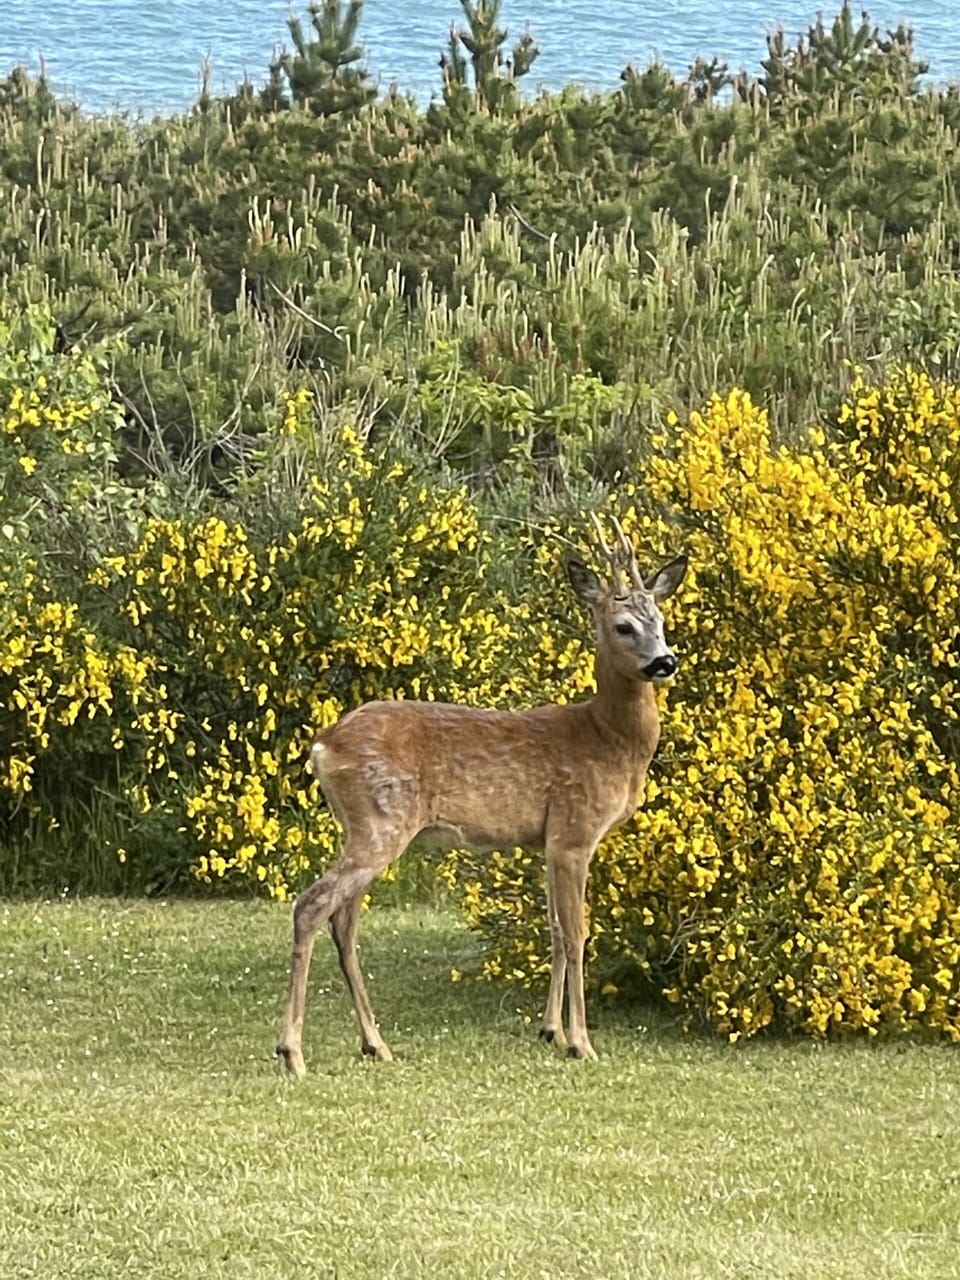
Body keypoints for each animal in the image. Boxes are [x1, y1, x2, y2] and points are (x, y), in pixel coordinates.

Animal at [276, 517, 687, 1075]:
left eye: (661, 620)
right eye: (624, 626)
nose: (665, 661)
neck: (608, 739)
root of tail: (323, 744)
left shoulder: (547, 840)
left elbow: (554, 930)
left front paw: (551, 1031)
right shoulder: (575, 829)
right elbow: (577, 933)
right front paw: (582, 1042)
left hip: (362, 825)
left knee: (344, 919)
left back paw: (374, 1042)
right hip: (381, 820)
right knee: (312, 905)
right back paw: (293, 1052)